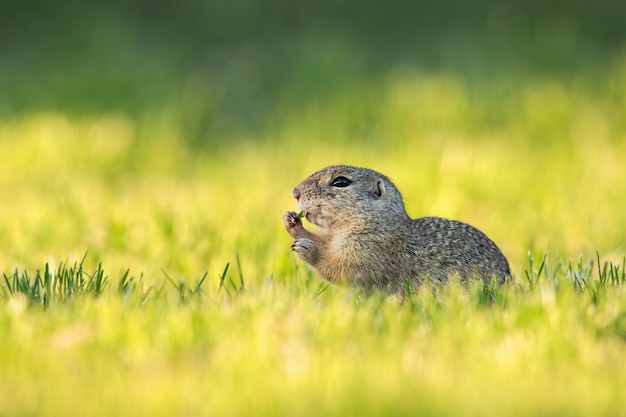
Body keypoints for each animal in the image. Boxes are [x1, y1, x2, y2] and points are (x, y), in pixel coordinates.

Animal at [282, 164, 508, 290]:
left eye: (340, 182)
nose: (295, 193)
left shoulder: (372, 251)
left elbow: (344, 270)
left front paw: (309, 251)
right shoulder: (334, 240)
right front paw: (293, 224)